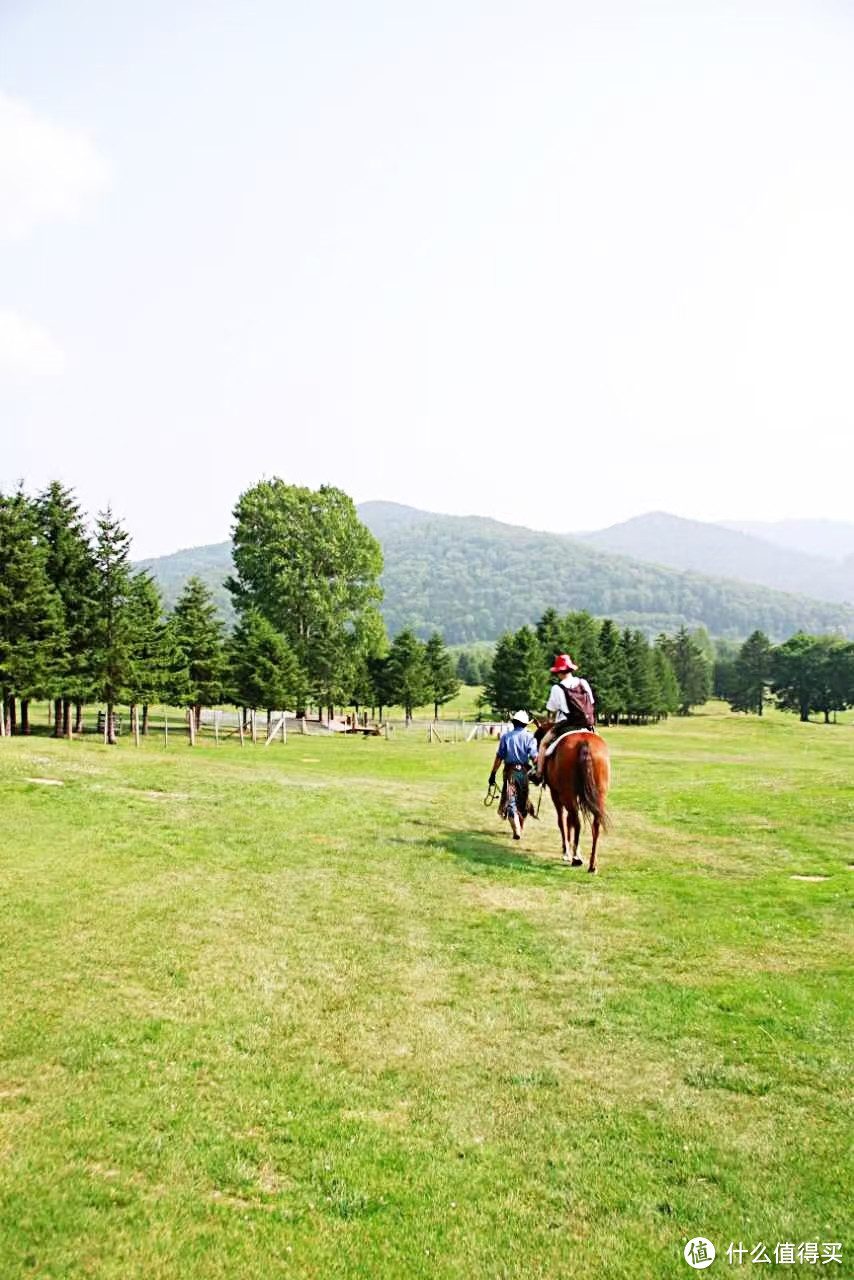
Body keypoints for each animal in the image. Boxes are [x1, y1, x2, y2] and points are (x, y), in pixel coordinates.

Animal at [535, 727, 606, 875]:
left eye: (537, 737)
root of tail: (584, 742)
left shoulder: (556, 794)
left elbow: (562, 820)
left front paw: (566, 850)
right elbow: (569, 820)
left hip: (567, 794)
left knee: (576, 821)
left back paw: (576, 857)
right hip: (599, 794)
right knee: (595, 825)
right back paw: (592, 865)